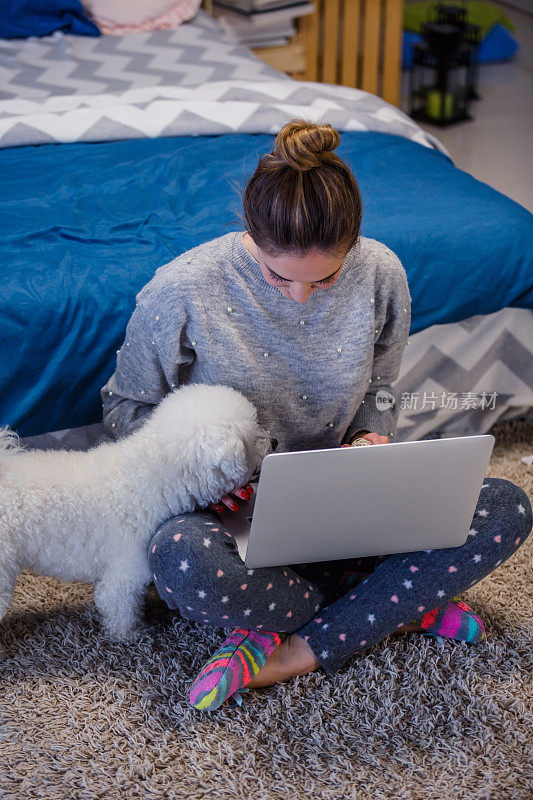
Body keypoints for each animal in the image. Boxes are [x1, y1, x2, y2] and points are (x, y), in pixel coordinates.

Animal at [0, 384, 272, 640]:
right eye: (252, 435)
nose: (276, 442)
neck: (151, 475)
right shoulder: (124, 571)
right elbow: (120, 608)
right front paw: (130, 634)